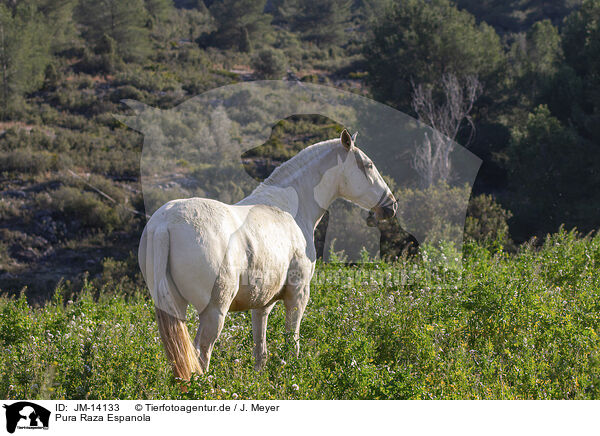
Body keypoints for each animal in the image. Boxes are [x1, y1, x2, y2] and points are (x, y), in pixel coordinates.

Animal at [138, 129, 396, 378]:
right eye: (368, 165)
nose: (391, 206)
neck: (289, 209)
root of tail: (164, 225)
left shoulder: (262, 304)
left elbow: (260, 351)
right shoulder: (298, 294)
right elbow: (292, 344)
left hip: (175, 308)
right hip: (214, 311)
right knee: (201, 354)